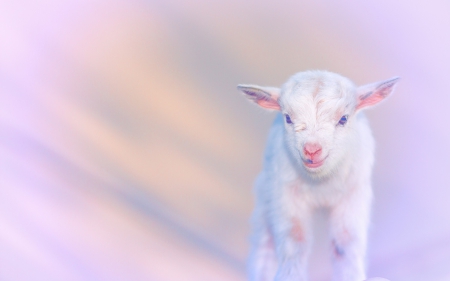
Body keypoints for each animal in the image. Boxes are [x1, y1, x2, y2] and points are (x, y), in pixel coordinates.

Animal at [237, 70, 400, 280]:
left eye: (343, 119)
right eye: (288, 118)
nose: (312, 150)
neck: (320, 182)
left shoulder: (353, 196)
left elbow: (345, 244)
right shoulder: (286, 194)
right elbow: (295, 240)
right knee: (264, 243)